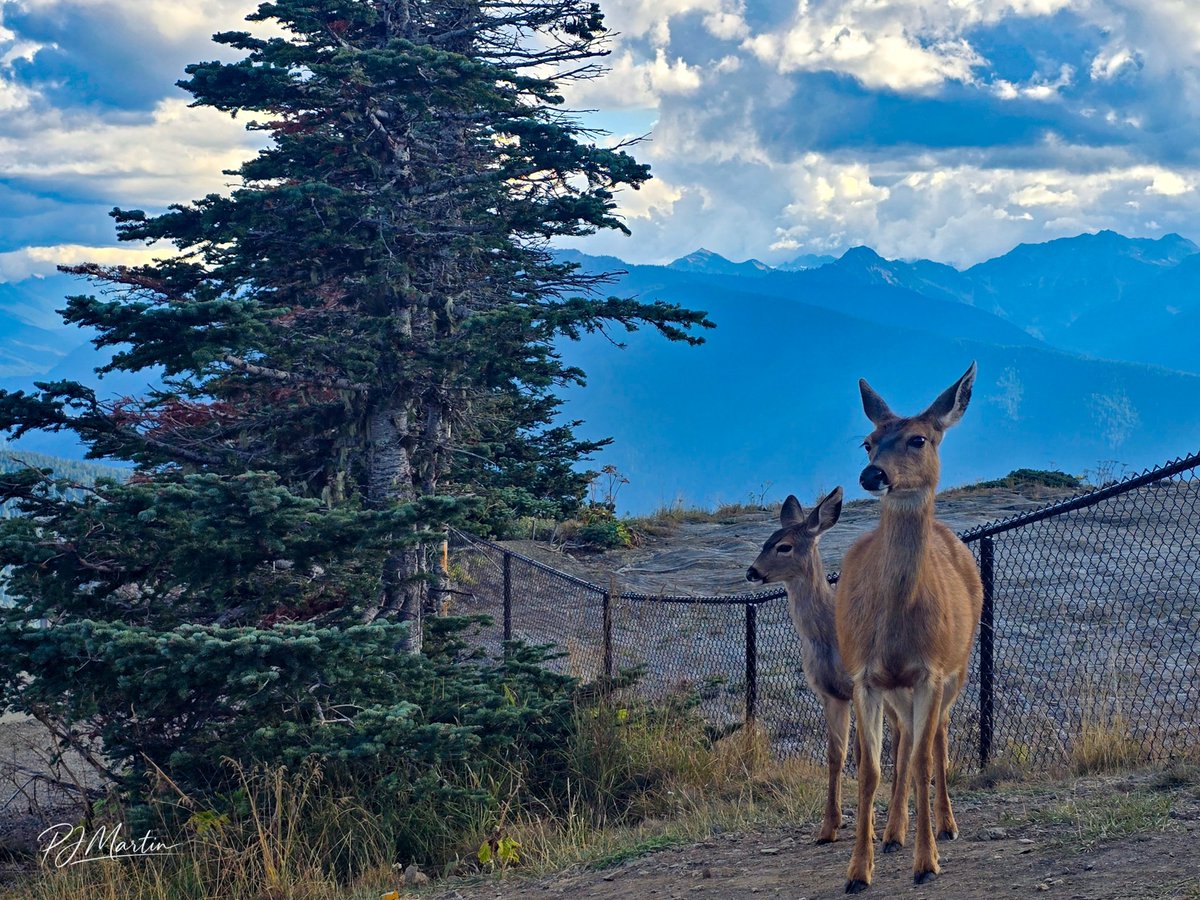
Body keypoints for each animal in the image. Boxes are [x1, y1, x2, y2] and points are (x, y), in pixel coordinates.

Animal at [746, 488, 908, 846]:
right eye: (765, 541)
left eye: (784, 545)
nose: (751, 572)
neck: (827, 635)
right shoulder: (829, 692)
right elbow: (836, 755)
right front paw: (828, 828)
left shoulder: (859, 687)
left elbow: (862, 756)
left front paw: (867, 825)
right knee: (902, 735)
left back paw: (903, 826)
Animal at [835, 362, 984, 893]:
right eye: (868, 442)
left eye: (918, 439)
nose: (872, 474)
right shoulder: (864, 675)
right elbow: (870, 769)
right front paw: (859, 871)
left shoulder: (930, 672)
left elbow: (922, 760)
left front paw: (927, 863)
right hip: (898, 691)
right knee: (903, 742)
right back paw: (894, 833)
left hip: (959, 668)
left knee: (936, 739)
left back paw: (946, 825)